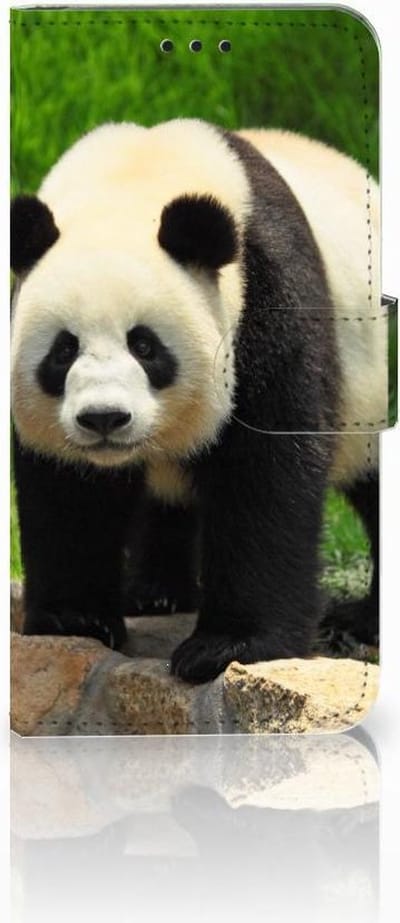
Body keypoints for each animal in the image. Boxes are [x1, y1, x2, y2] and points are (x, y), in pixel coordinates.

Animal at [10, 118, 385, 684]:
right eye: (63, 350)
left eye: (144, 346)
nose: (104, 419)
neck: (132, 181)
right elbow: (67, 490)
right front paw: (74, 619)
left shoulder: (266, 298)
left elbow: (267, 471)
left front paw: (227, 646)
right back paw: (154, 593)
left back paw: (362, 621)